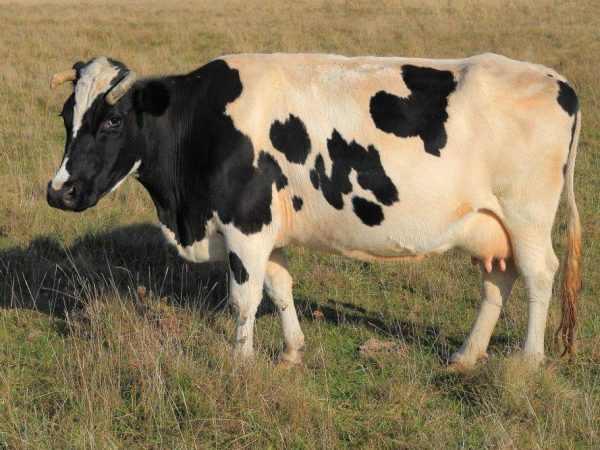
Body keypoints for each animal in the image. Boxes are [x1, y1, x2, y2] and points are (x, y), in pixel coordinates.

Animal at [47, 53, 580, 370]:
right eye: (66, 116)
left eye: (113, 120)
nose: (60, 192)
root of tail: (556, 78)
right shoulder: (266, 228)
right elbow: (280, 289)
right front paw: (290, 352)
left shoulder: (245, 224)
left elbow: (244, 300)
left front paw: (240, 365)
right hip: (491, 224)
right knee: (498, 280)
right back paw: (466, 356)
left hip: (527, 216)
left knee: (539, 276)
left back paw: (529, 361)